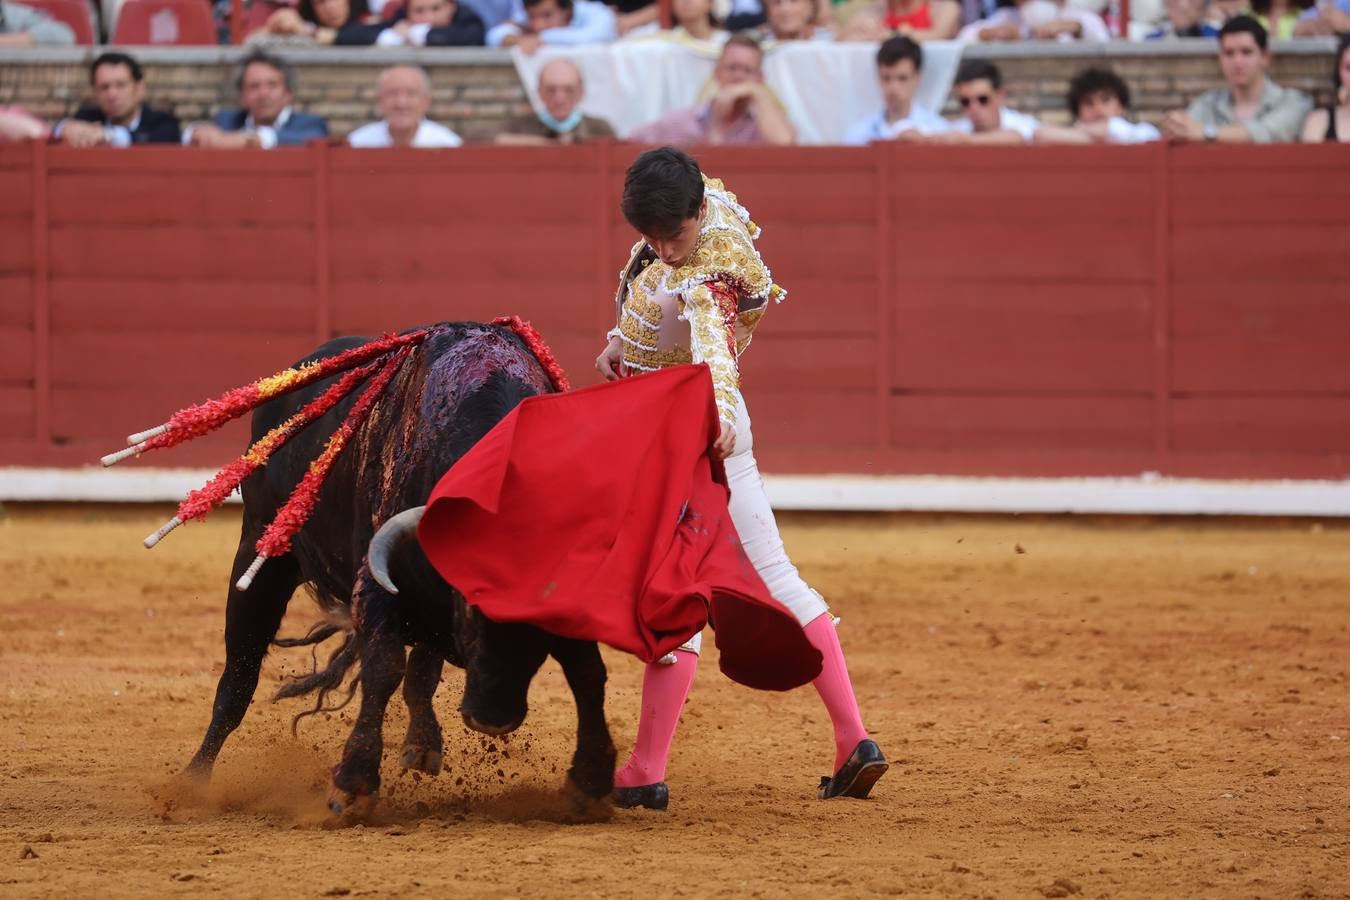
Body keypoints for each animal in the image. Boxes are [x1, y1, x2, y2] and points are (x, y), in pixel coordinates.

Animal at [180, 323, 618, 814]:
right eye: (468, 608)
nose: (493, 719)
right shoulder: (376, 587)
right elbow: (384, 667)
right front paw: (353, 784)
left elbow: (586, 669)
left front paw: (591, 781)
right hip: (262, 551)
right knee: (238, 677)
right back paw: (192, 784)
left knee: (421, 671)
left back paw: (423, 744)